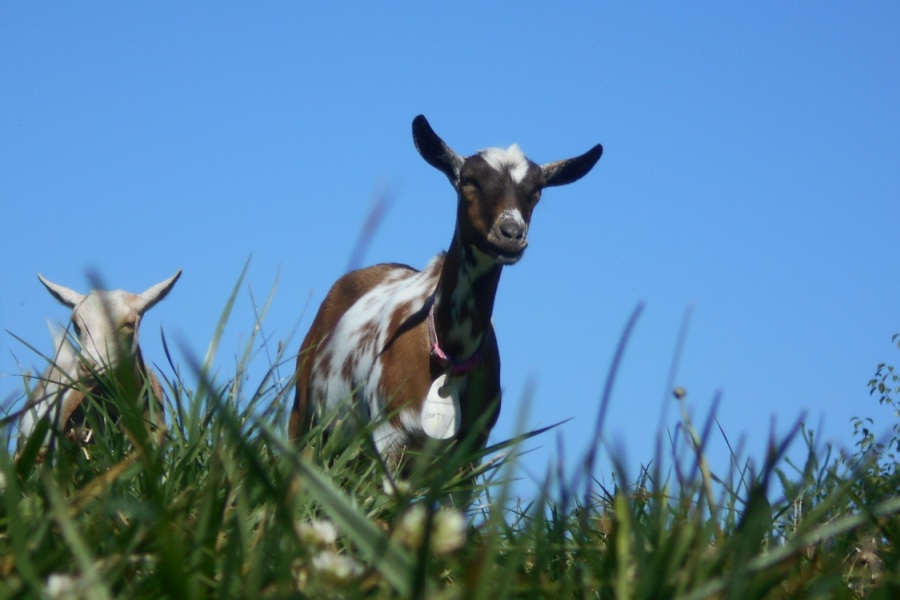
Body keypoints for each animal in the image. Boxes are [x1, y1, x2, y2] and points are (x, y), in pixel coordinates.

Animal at [292, 116, 600, 464]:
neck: (451, 353)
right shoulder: (390, 436)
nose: (511, 234)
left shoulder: (469, 451)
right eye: (469, 180)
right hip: (303, 415)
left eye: (536, 190)